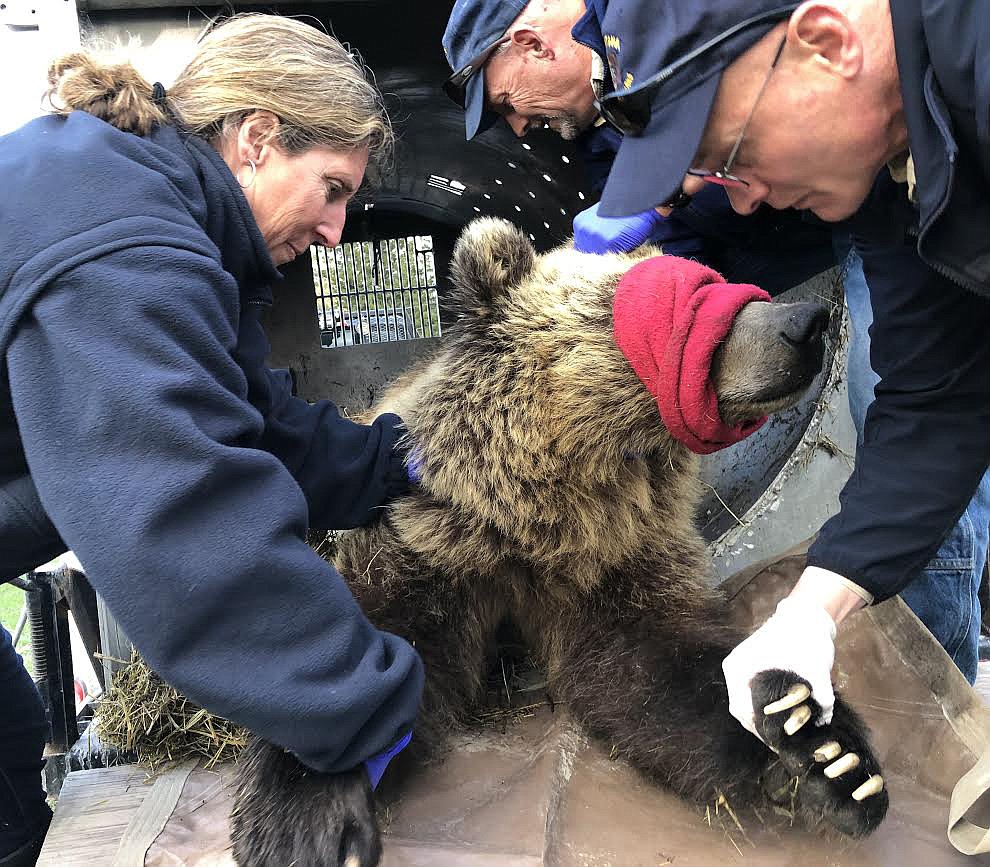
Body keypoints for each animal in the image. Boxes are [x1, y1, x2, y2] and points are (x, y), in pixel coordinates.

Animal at [232, 219, 892, 867]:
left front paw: (822, 749)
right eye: (664, 303)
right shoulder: (433, 546)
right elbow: (386, 638)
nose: (804, 321)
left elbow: (654, 669)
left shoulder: (618, 565)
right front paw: (307, 815)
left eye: (718, 279)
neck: (549, 515)